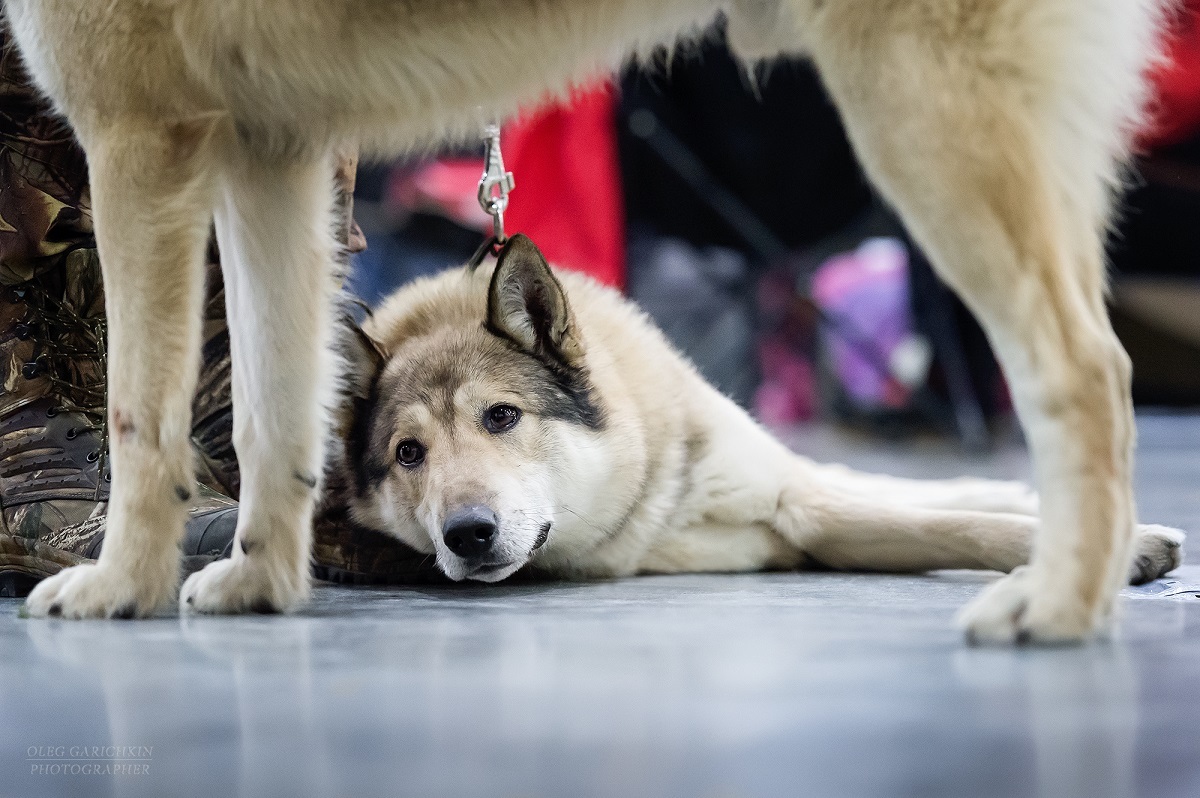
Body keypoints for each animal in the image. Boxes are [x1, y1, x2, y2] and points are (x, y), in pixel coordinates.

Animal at [343, 236, 1185, 597]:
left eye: (501, 417)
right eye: (410, 454)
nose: (467, 535)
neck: (655, 493)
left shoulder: (796, 502)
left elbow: (952, 521)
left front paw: (1114, 538)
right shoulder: (812, 531)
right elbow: (946, 526)